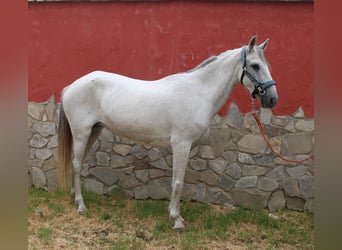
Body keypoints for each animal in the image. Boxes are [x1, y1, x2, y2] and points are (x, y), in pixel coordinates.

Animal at [58, 35, 278, 230]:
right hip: (81, 133)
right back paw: (81, 206)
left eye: (267, 65)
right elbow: (177, 183)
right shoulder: (181, 145)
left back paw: (74, 198)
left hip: (93, 131)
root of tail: (71, 87)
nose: (272, 99)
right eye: (255, 65)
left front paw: (174, 214)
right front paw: (177, 220)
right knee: (77, 165)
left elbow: (178, 181)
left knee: (76, 163)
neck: (198, 93)